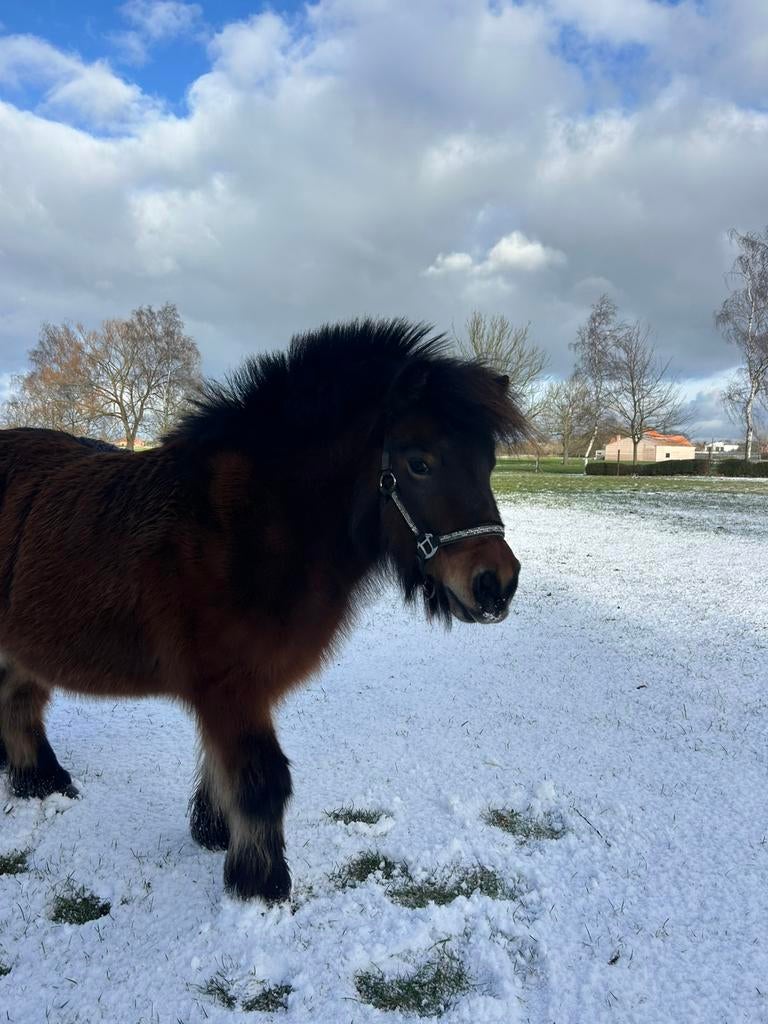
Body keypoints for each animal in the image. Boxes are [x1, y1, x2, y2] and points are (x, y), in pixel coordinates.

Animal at [0, 319, 526, 903]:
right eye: (419, 464)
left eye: (489, 464)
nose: (496, 585)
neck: (250, 526)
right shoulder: (232, 687)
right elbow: (263, 780)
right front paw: (261, 881)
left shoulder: (232, 693)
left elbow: (222, 767)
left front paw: (214, 833)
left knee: (18, 699)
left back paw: (39, 781)